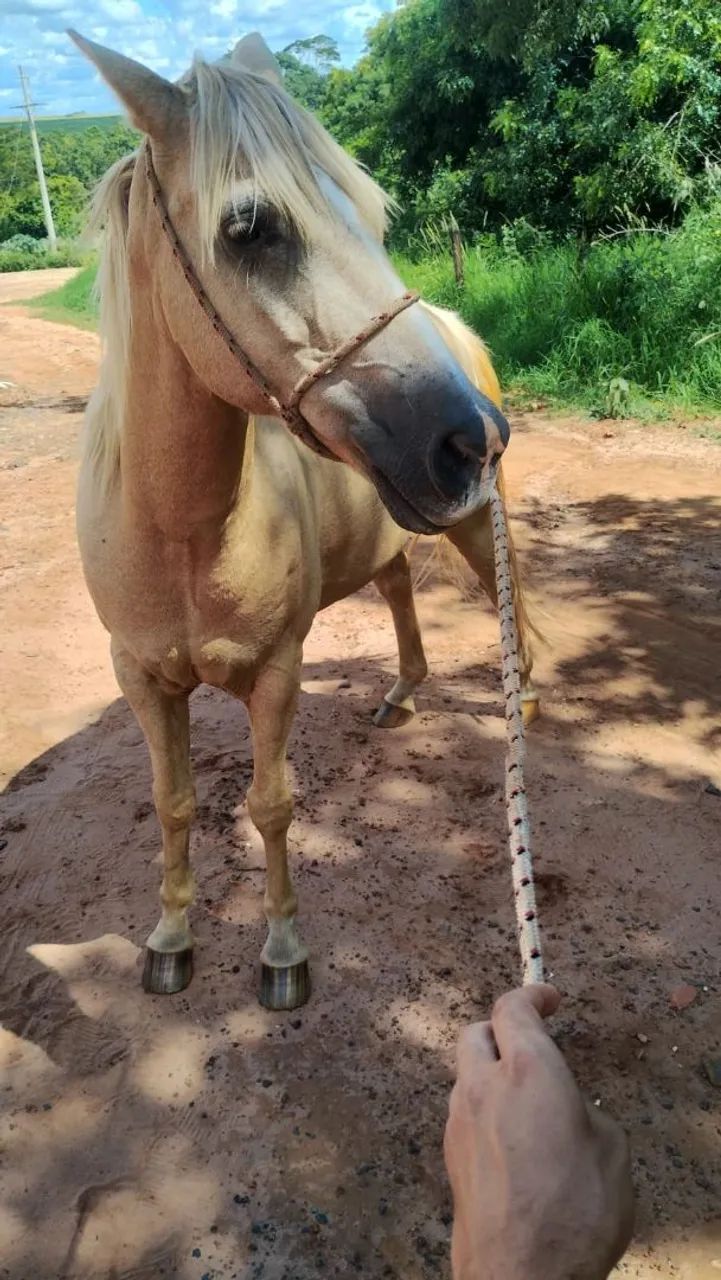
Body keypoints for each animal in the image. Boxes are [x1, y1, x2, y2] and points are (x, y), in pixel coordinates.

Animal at [70, 30, 538, 1010]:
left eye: (371, 212)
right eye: (250, 229)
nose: (473, 435)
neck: (181, 532)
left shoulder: (277, 672)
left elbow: (270, 805)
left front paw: (282, 950)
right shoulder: (141, 679)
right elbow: (174, 804)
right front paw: (170, 938)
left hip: (476, 529)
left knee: (509, 607)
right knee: (398, 591)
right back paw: (401, 693)